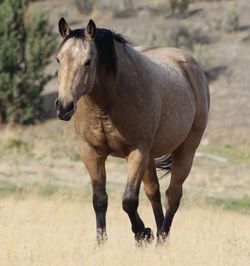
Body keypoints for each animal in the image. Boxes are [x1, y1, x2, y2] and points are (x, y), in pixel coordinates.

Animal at [54, 17, 209, 244]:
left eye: (88, 61)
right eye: (59, 59)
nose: (64, 106)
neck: (106, 104)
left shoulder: (137, 152)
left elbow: (128, 201)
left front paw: (142, 234)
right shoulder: (90, 152)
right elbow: (99, 200)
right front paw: (101, 242)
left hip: (186, 149)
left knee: (173, 195)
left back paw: (162, 238)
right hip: (151, 157)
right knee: (154, 192)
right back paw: (159, 232)